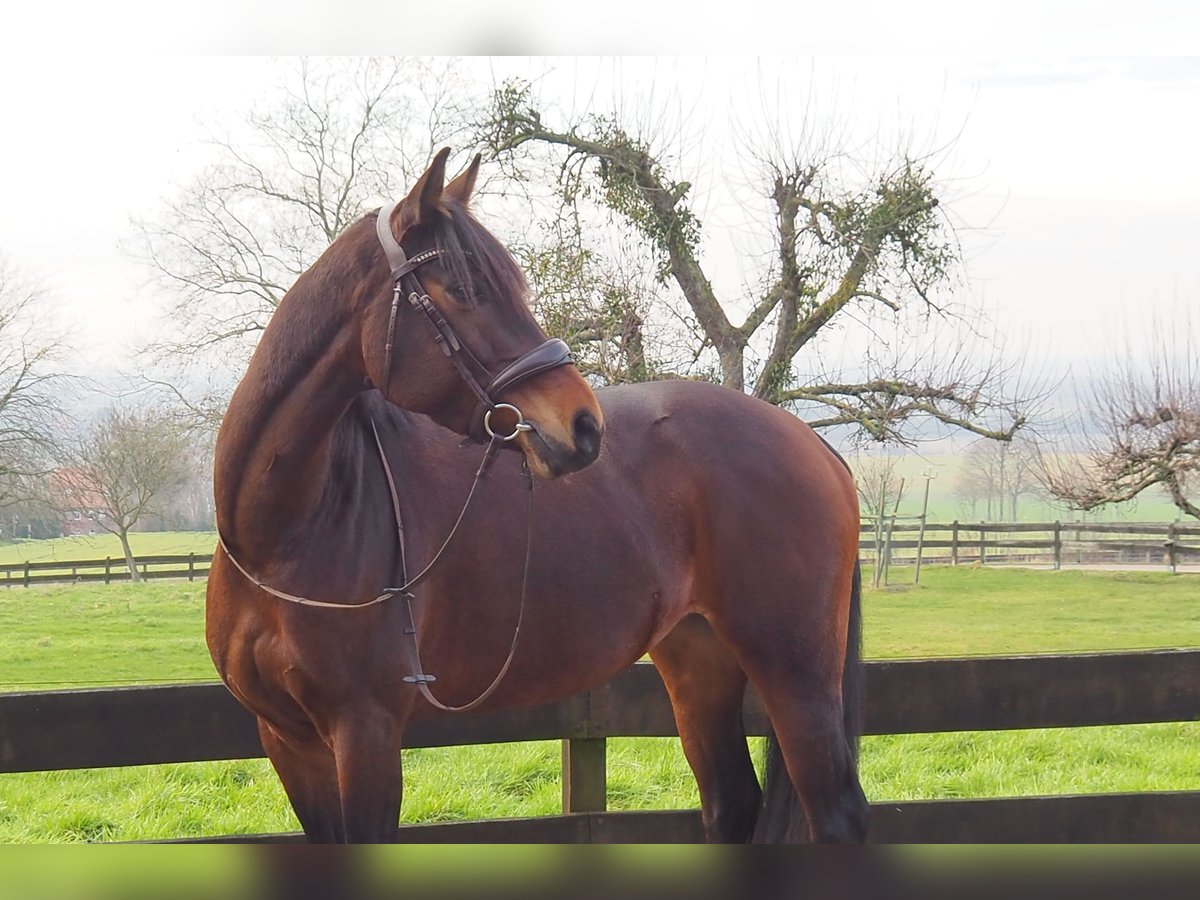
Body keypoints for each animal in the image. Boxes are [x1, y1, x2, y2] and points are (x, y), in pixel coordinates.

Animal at [206, 148, 864, 844]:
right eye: (463, 290)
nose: (583, 424)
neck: (289, 531)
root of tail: (813, 443)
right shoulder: (288, 740)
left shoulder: (367, 733)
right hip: (699, 659)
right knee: (730, 802)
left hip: (794, 672)